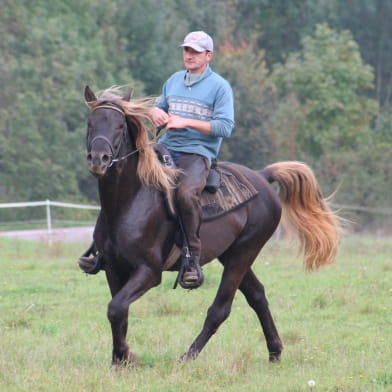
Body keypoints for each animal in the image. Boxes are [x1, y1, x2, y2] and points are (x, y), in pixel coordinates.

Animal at [82, 86, 340, 368]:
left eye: (119, 126)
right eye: (90, 123)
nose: (99, 159)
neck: (129, 202)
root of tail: (262, 177)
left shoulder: (148, 272)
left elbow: (116, 308)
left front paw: (126, 357)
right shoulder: (113, 268)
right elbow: (120, 312)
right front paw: (120, 360)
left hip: (243, 253)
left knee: (220, 309)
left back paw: (188, 356)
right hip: (230, 255)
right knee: (257, 295)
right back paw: (274, 352)